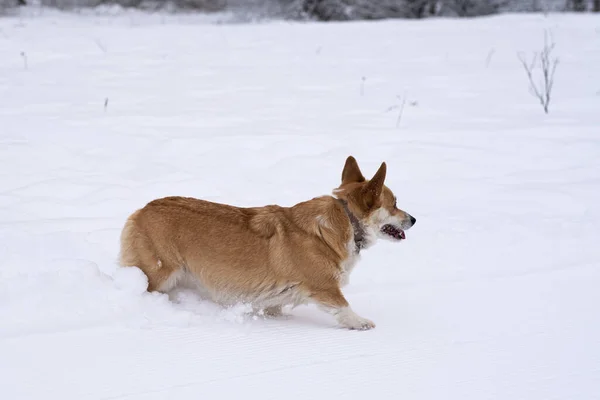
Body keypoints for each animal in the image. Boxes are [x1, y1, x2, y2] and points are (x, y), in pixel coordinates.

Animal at [119, 155, 414, 330]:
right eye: (395, 204)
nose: (413, 219)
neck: (346, 220)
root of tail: (141, 210)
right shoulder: (324, 286)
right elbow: (344, 307)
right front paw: (361, 322)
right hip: (161, 272)